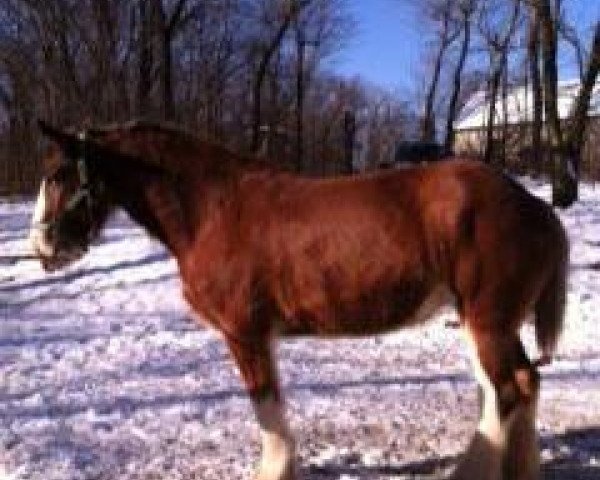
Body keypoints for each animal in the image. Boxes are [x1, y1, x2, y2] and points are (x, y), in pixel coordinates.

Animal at [31, 120, 568, 480]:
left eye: (58, 174)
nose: (41, 248)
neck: (214, 209)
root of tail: (536, 206)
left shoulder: (244, 333)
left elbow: (266, 407)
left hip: (487, 321)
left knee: (508, 390)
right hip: (487, 322)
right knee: (521, 384)